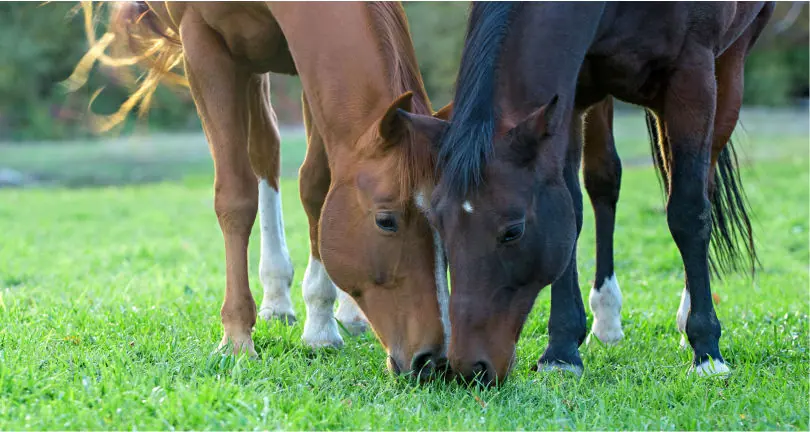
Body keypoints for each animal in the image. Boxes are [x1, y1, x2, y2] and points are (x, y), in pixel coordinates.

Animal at [70, 1, 452, 379]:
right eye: (386, 220)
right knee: (264, 149)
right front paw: (237, 339)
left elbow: (317, 187)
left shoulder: (308, 61)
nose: (433, 361)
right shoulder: (202, 43)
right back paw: (277, 296)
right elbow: (236, 196)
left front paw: (320, 326)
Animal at [400, 2, 774, 385]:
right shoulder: (572, 93)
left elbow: (687, 210)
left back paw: (686, 317)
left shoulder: (693, 76)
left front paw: (707, 351)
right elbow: (573, 209)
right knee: (604, 181)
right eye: (439, 225)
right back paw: (606, 317)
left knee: (700, 184)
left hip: (726, 68)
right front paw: (562, 350)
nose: (467, 369)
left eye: (513, 231)